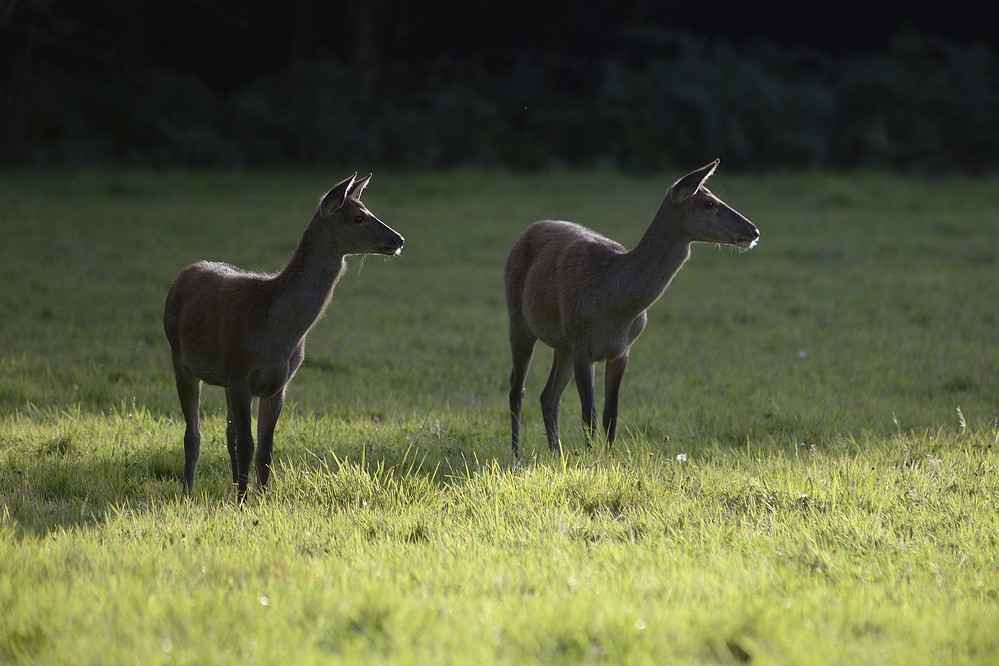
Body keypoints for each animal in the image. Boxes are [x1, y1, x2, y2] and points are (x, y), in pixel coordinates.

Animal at [162, 172, 404, 498]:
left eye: (368, 210)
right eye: (358, 217)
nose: (399, 239)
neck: (275, 331)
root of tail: (183, 274)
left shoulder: (278, 383)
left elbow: (265, 450)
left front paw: (262, 498)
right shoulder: (240, 374)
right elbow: (248, 445)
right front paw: (243, 501)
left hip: (223, 379)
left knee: (228, 434)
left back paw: (231, 484)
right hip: (180, 357)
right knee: (193, 433)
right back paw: (189, 488)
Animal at [508, 158, 756, 454]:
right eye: (708, 203)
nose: (753, 230)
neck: (616, 307)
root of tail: (525, 232)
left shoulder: (621, 350)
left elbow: (610, 414)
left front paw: (608, 456)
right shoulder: (581, 344)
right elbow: (588, 413)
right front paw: (590, 457)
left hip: (562, 344)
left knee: (548, 396)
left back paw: (556, 453)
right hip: (518, 318)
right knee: (517, 390)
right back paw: (517, 453)